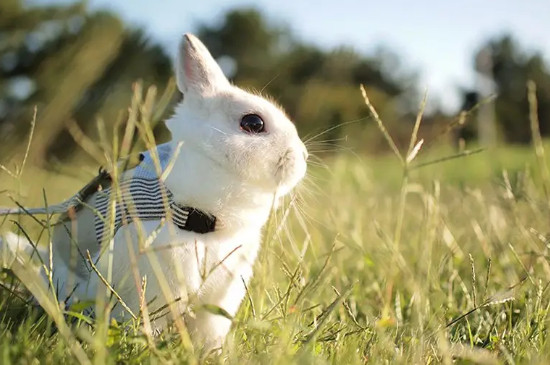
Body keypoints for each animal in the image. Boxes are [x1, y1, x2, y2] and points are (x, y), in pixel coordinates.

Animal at [0, 34, 308, 350]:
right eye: (253, 123)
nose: (303, 157)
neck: (205, 221)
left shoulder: (219, 299)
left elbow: (209, 332)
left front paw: (211, 354)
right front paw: (144, 344)